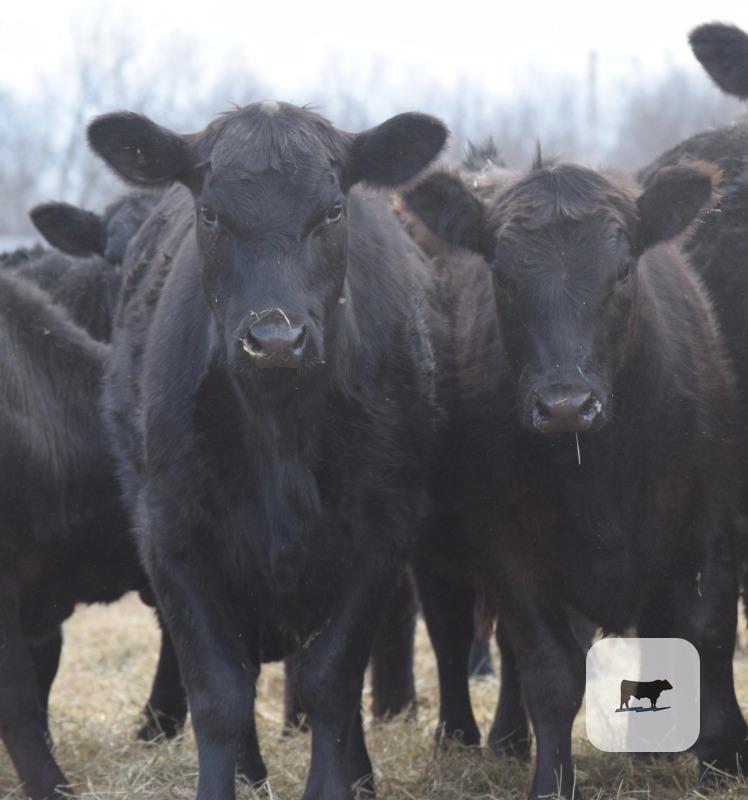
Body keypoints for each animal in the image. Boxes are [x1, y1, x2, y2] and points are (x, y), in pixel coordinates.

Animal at [86, 100, 448, 800]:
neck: (280, 432)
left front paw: (337, 786)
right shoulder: (173, 537)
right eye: (210, 213)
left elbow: (330, 683)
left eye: (332, 211)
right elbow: (220, 693)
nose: (274, 339)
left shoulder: (380, 535)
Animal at [402, 155, 746, 799]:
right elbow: (549, 668)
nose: (565, 404)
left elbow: (707, 631)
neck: (600, 472)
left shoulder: (709, 513)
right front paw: (551, 781)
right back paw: (461, 740)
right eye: (502, 277)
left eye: (623, 271)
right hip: (434, 551)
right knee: (452, 632)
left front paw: (722, 760)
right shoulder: (506, 540)